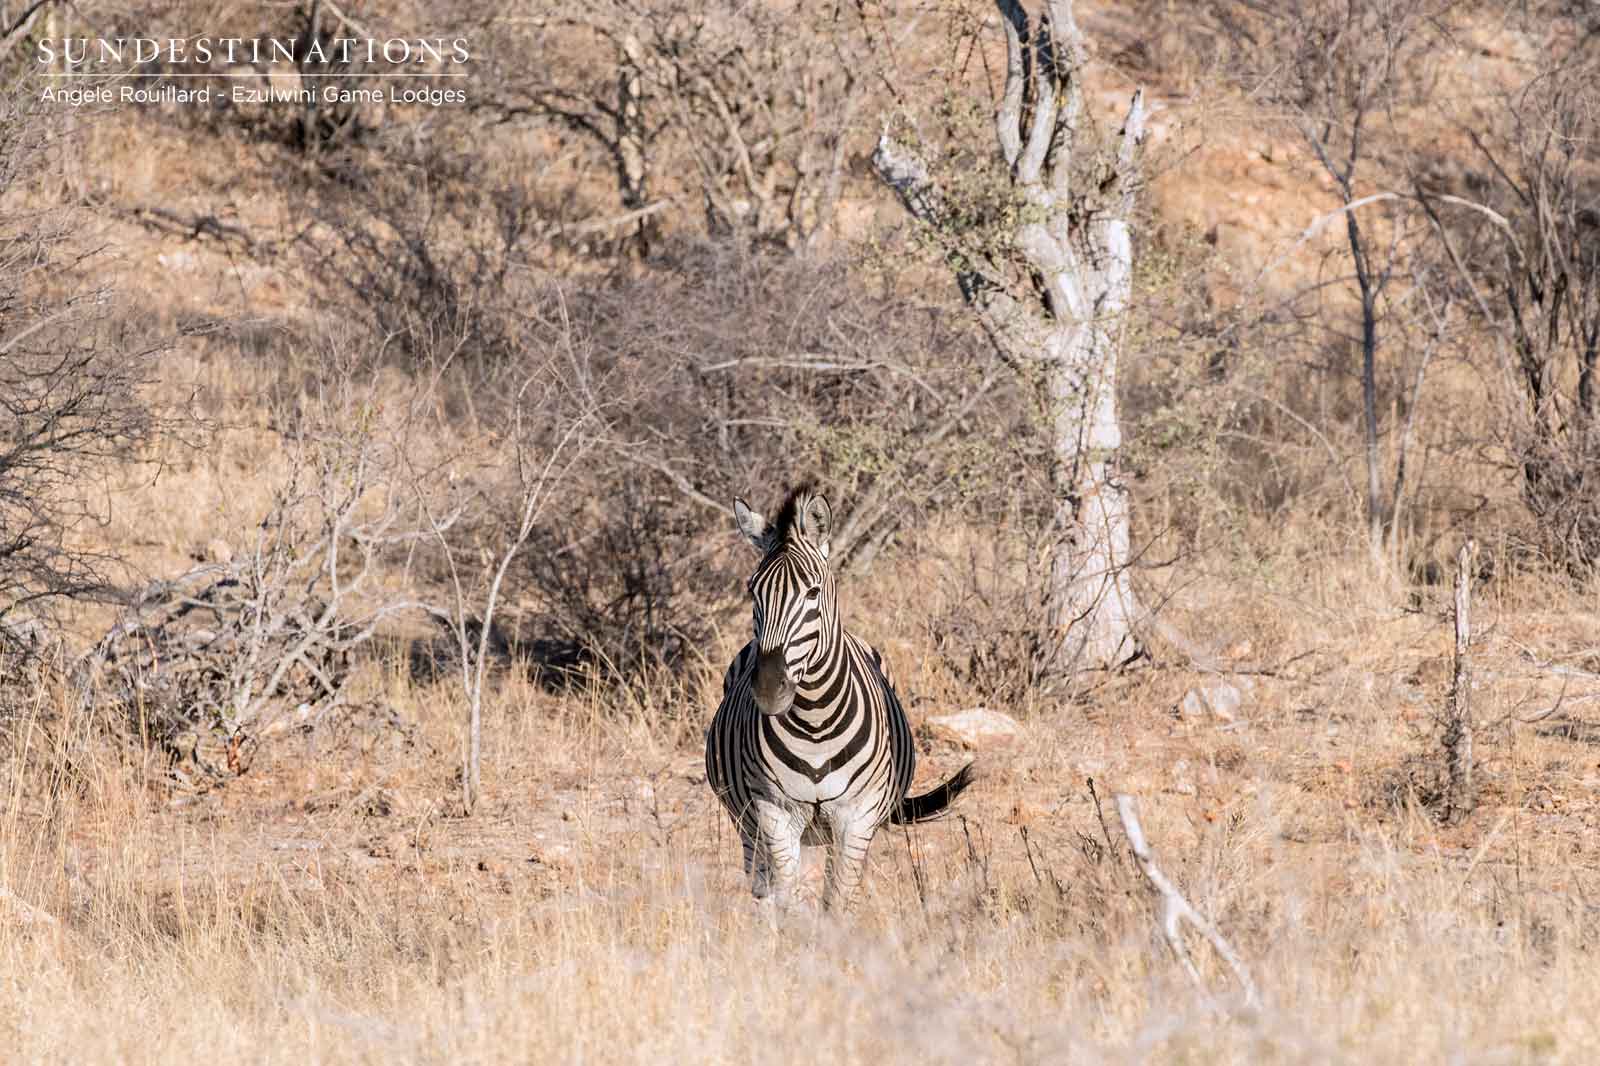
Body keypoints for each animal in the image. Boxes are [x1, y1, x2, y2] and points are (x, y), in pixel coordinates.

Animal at [705, 486, 974, 909]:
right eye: (752, 591)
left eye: (813, 592)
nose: (768, 689)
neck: (815, 721)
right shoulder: (774, 813)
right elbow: (787, 898)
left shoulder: (856, 818)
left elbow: (837, 902)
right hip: (748, 823)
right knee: (761, 884)